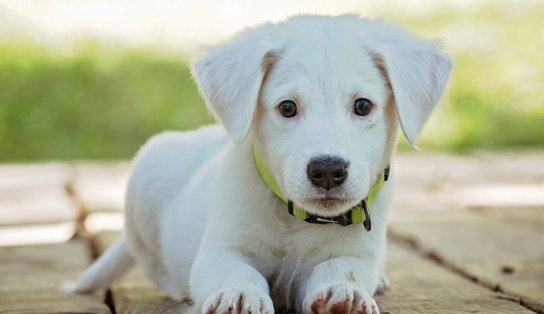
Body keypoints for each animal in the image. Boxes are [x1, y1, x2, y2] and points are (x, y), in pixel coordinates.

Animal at [75, 14, 450, 314]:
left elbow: (340, 267)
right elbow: (238, 271)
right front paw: (238, 295)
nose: (328, 171)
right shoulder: (221, 249)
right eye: (287, 108)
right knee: (157, 267)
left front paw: (344, 293)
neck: (294, 219)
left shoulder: (359, 254)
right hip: (147, 178)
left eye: (363, 105)